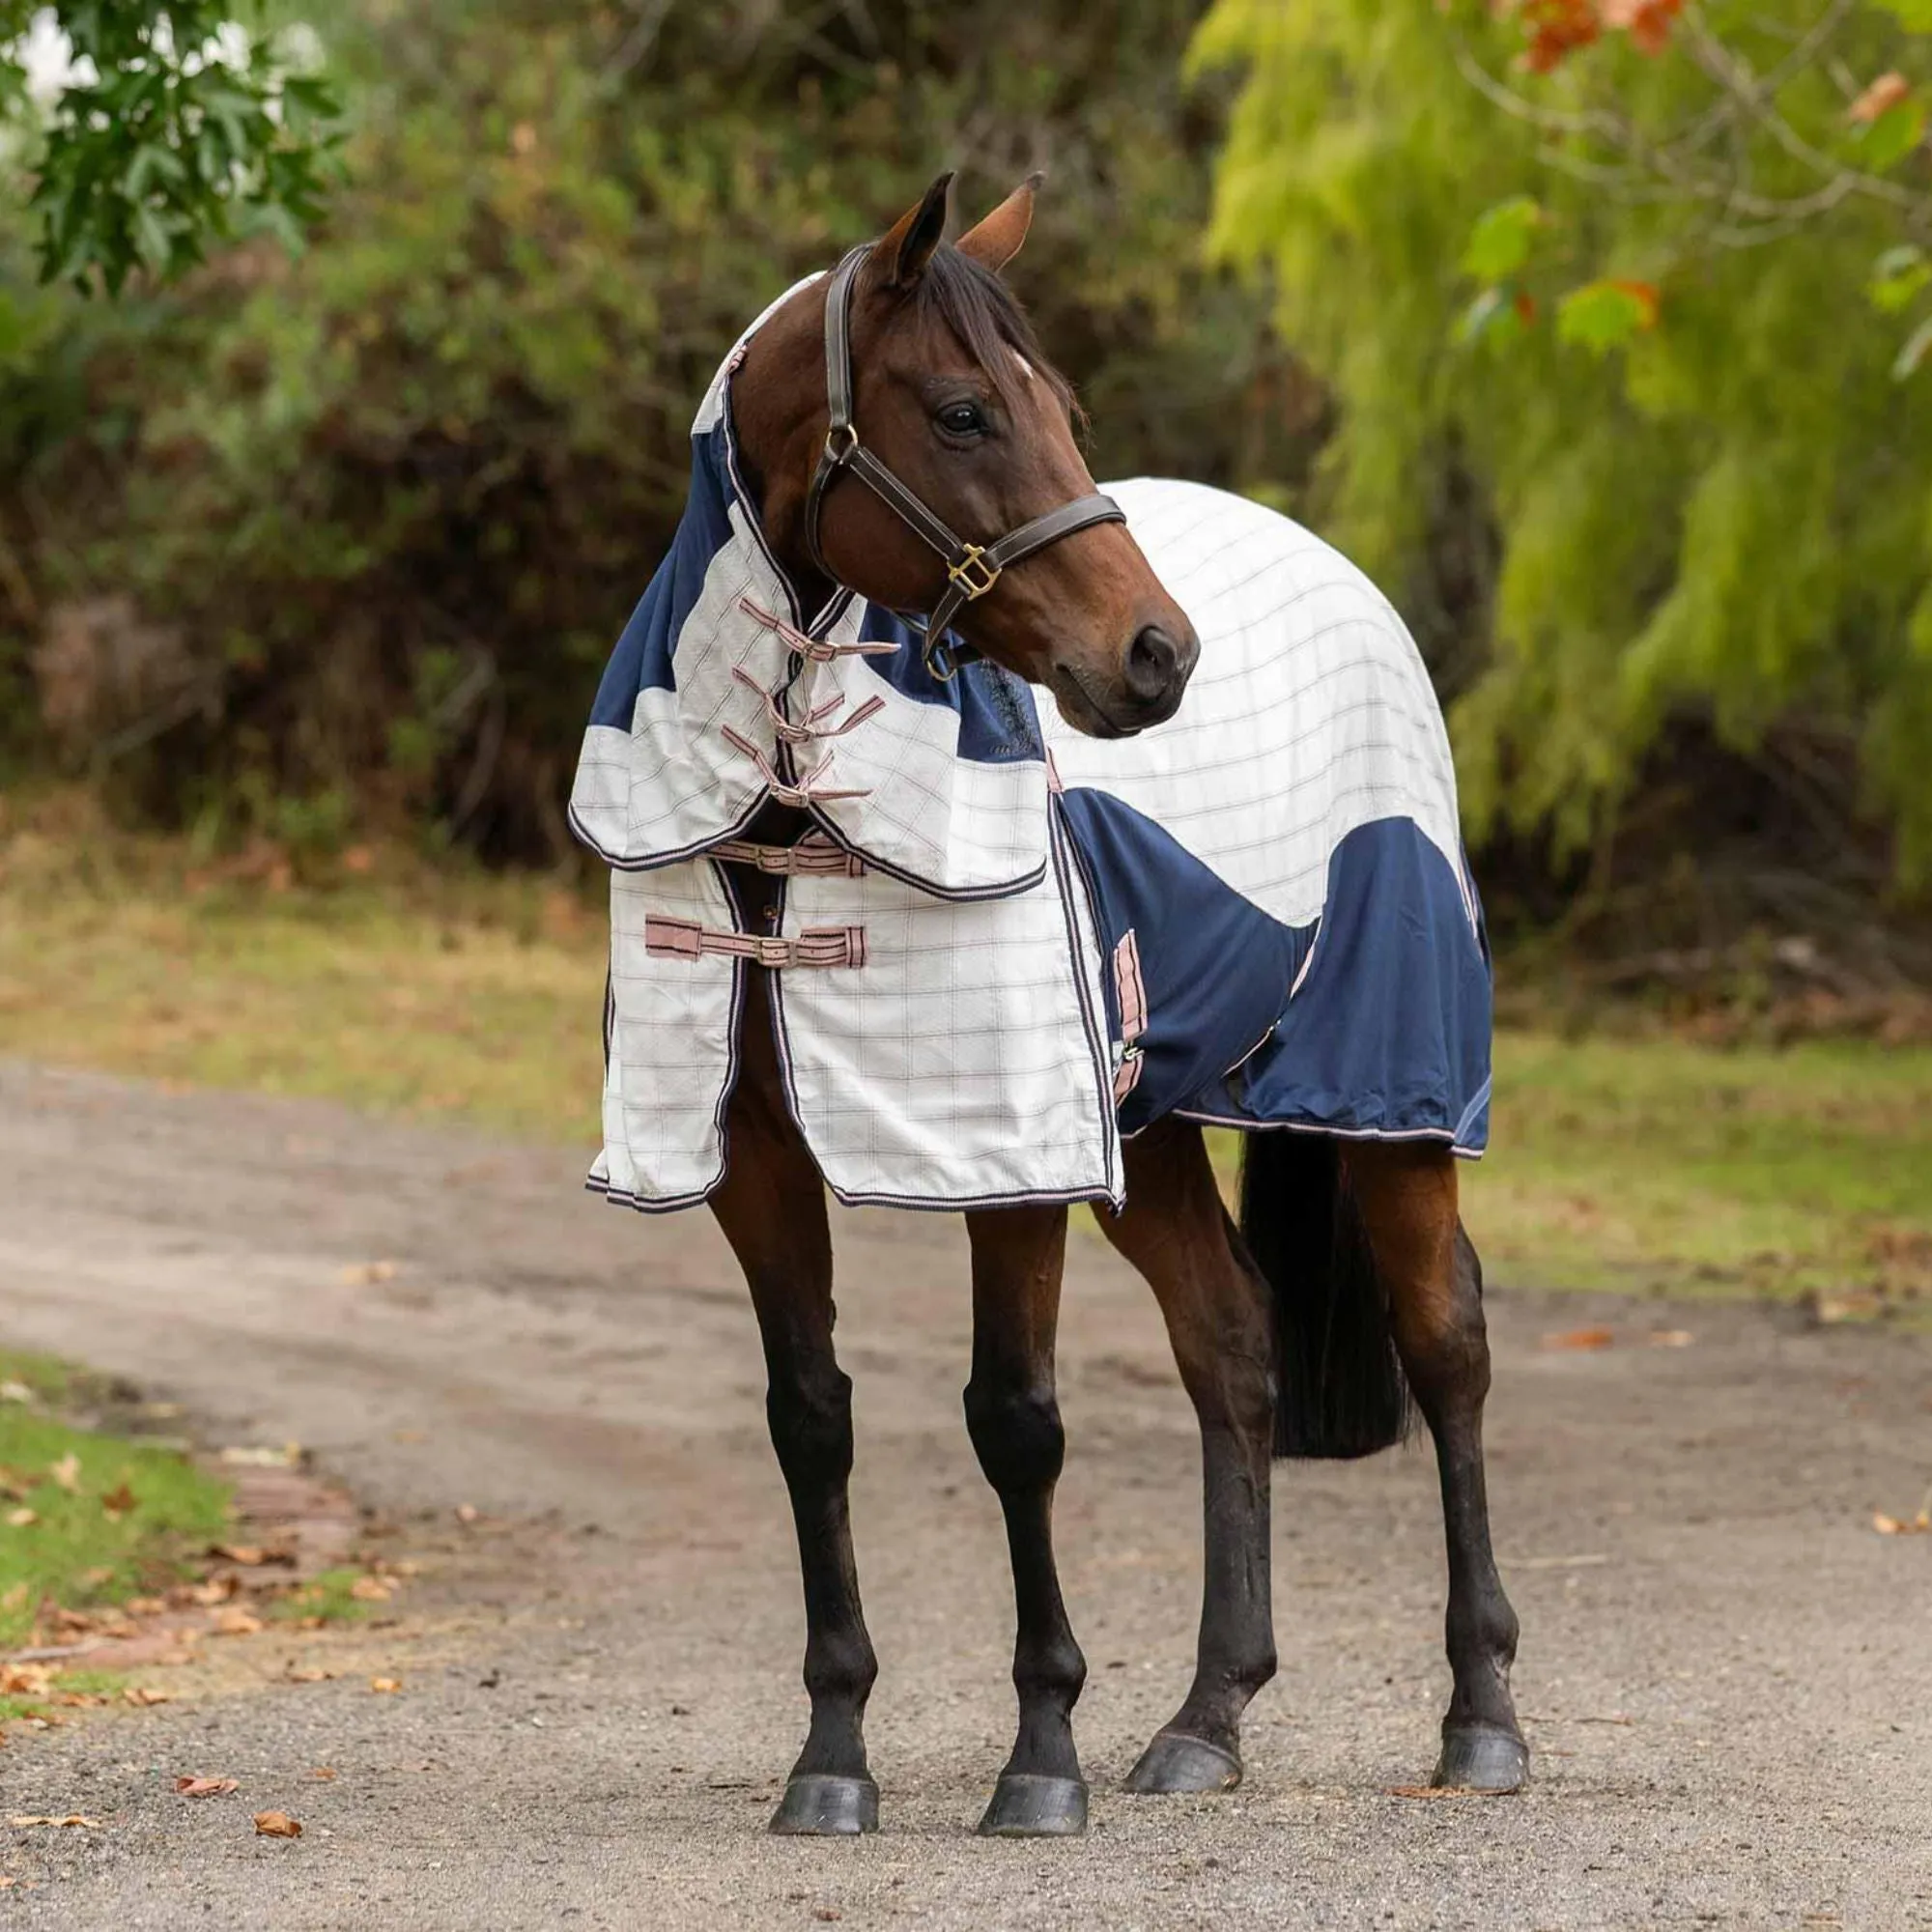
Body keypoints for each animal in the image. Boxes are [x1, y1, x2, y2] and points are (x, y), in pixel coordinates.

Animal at [618, 174, 1522, 1832]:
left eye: (1068, 411)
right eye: (965, 410)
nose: (1157, 655)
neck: (791, 815)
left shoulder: (1011, 1155)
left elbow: (1014, 1420)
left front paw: (1040, 1754)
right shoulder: (760, 1159)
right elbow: (810, 1417)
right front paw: (832, 1754)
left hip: (1393, 1095)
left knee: (1448, 1342)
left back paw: (1481, 1715)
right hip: (1149, 1125)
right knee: (1231, 1345)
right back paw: (1207, 1719)